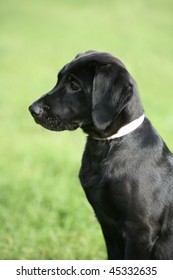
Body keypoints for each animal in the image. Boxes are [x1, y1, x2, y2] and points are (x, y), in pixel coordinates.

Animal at [28, 50, 173, 260]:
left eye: (74, 85)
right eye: (59, 79)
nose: (32, 109)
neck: (108, 145)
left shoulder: (140, 232)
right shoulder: (108, 226)